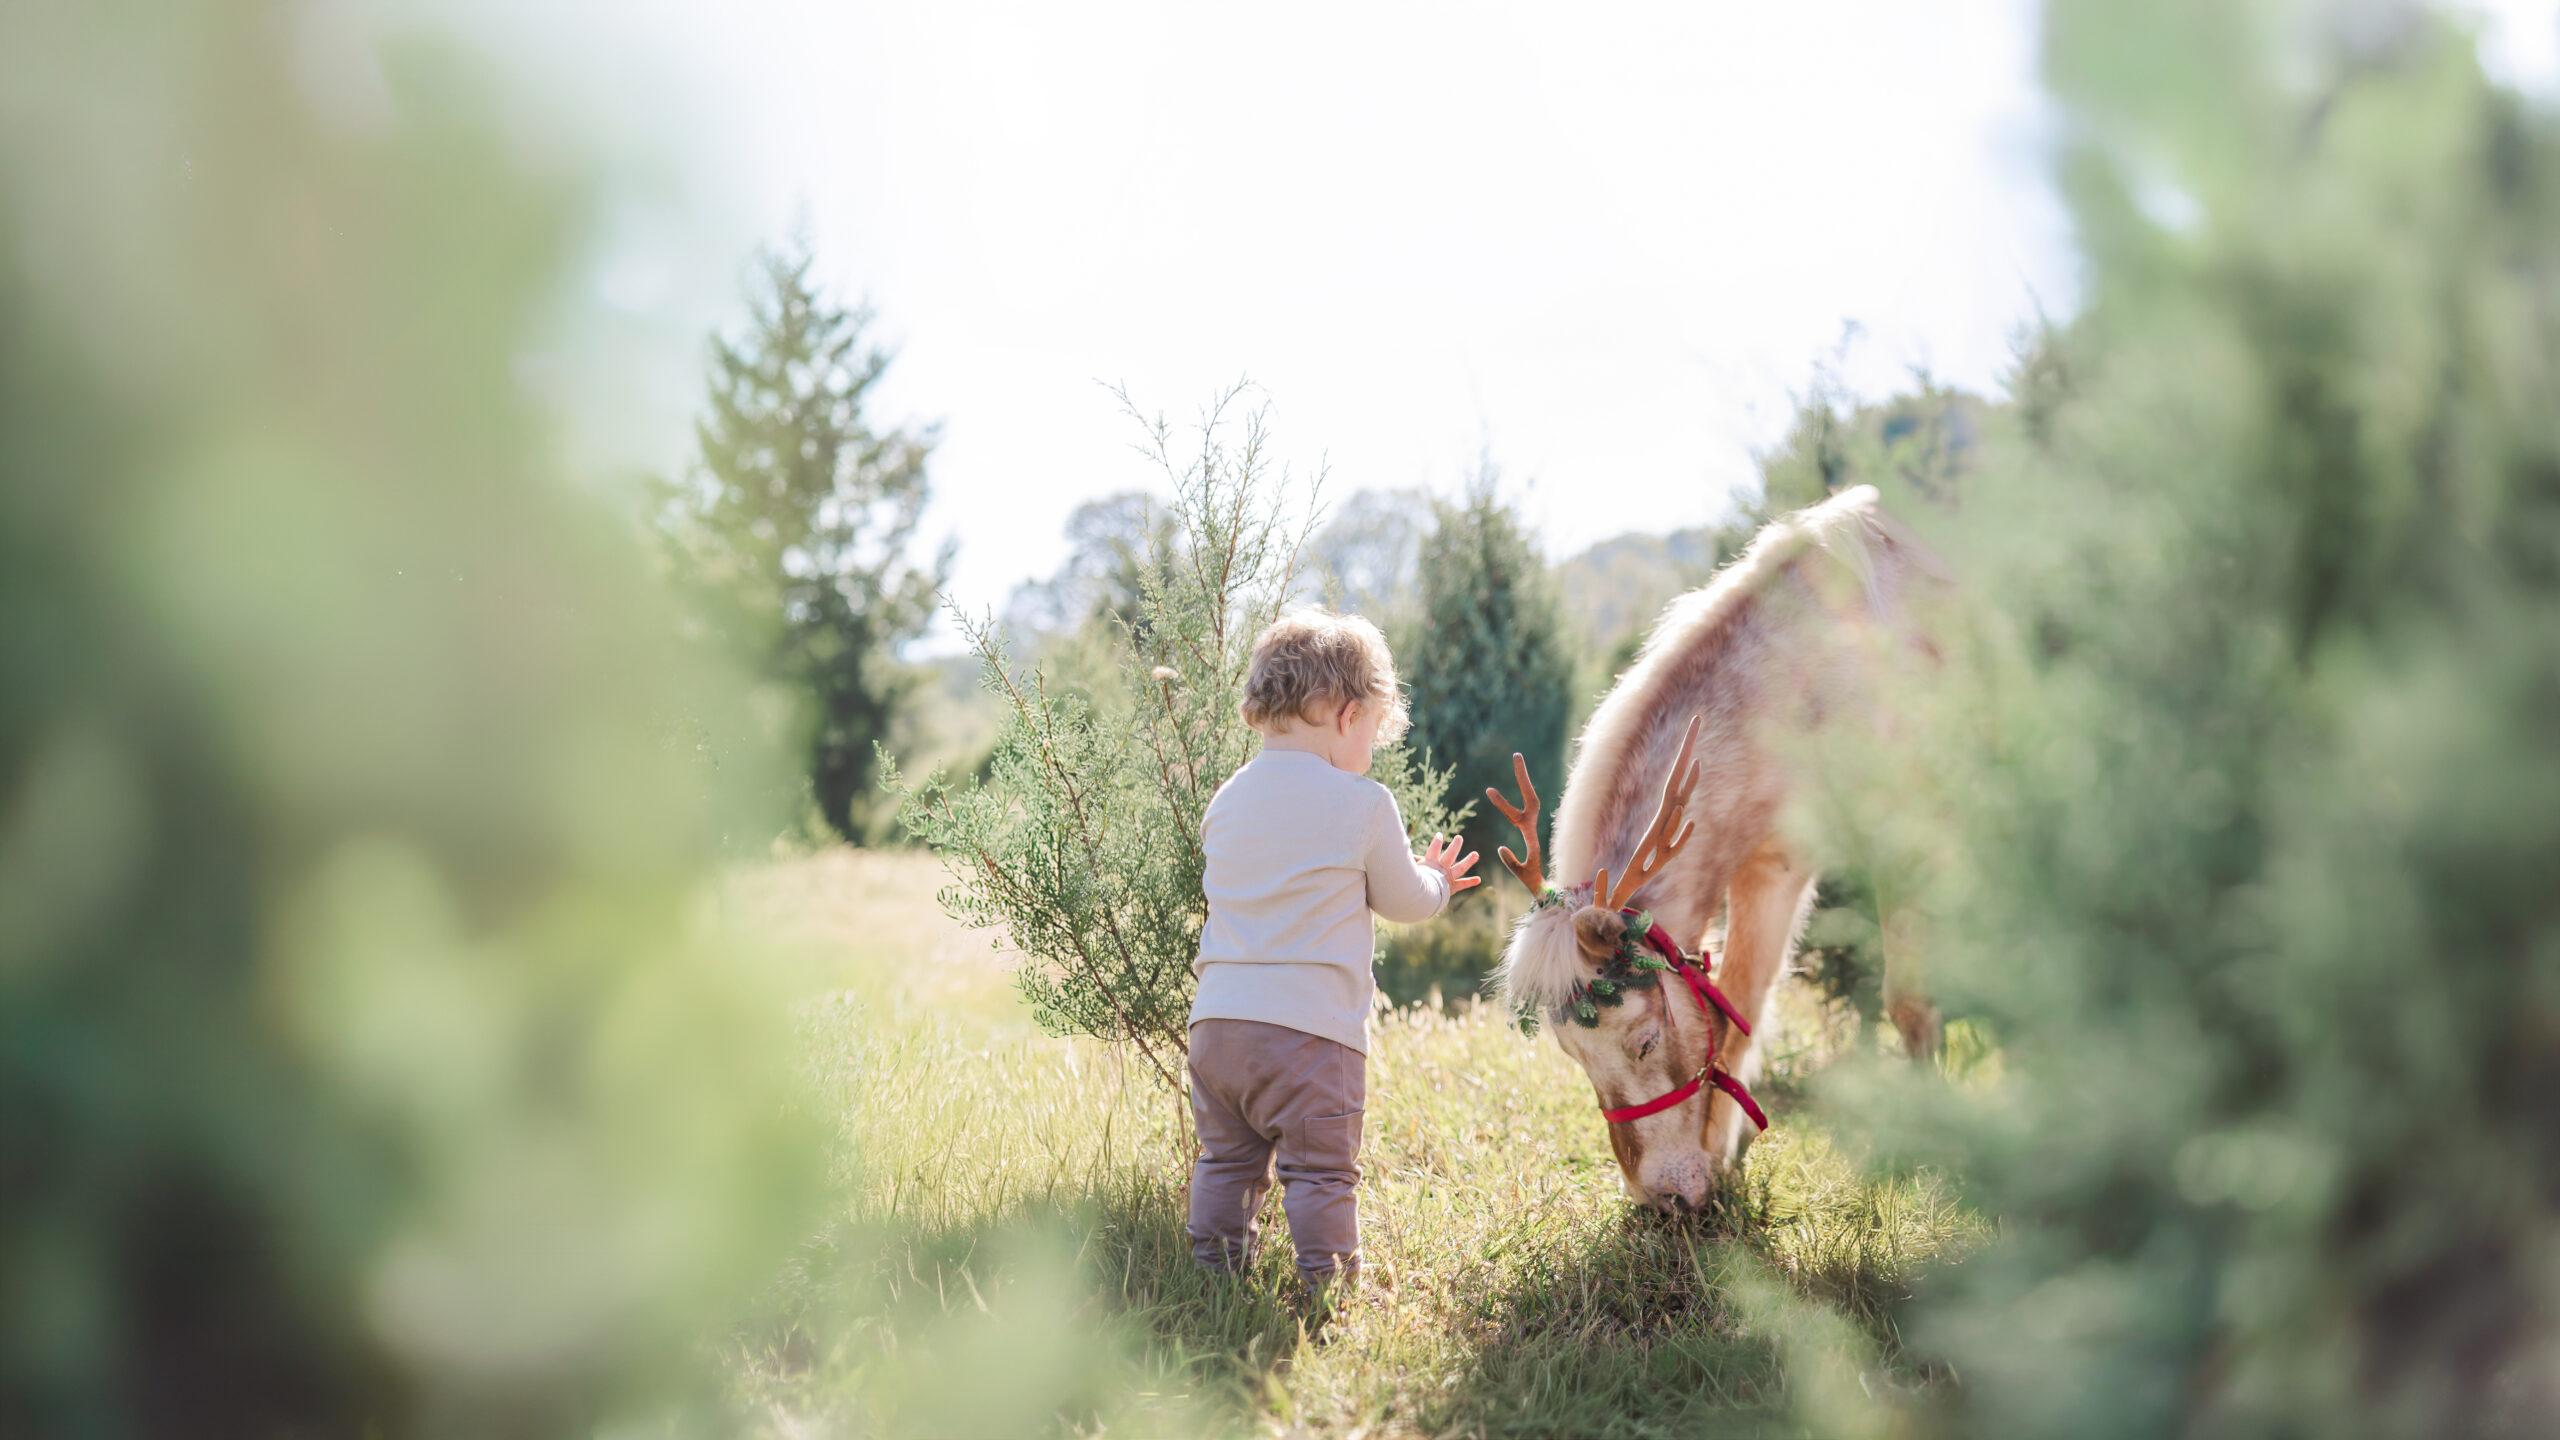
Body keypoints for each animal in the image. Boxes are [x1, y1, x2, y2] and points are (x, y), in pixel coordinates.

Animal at [1488, 484, 1945, 1211]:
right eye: (1574, 1056)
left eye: (1646, 1041)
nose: (1661, 1201)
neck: (1806, 682)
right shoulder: (1774, 863)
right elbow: (1740, 1002)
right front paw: (1726, 1150)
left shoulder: (1905, 830)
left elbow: (1908, 1000)